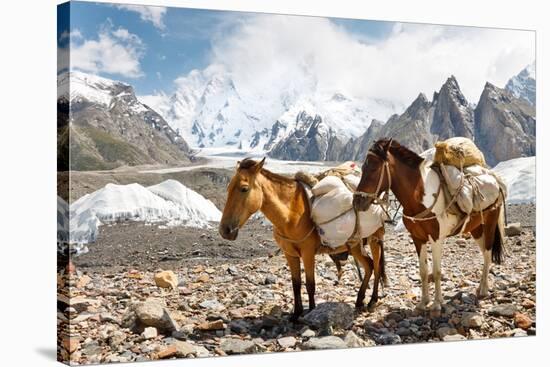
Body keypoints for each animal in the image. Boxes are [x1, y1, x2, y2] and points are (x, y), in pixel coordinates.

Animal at [220, 159, 388, 322]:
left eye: (244, 188)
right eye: (227, 188)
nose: (225, 231)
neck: (291, 214)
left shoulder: (308, 253)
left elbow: (310, 284)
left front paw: (311, 311)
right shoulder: (290, 254)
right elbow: (296, 284)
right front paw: (296, 314)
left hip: (374, 239)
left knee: (377, 266)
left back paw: (372, 300)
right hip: (354, 245)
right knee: (369, 266)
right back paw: (359, 300)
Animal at [356, 139, 506, 314]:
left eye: (373, 167)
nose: (357, 201)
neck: (419, 196)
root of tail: (495, 181)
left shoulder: (436, 239)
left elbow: (436, 271)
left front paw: (437, 304)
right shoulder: (418, 239)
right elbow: (423, 271)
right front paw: (423, 302)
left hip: (489, 224)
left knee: (488, 253)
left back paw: (483, 290)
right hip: (476, 229)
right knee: (484, 253)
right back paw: (480, 287)